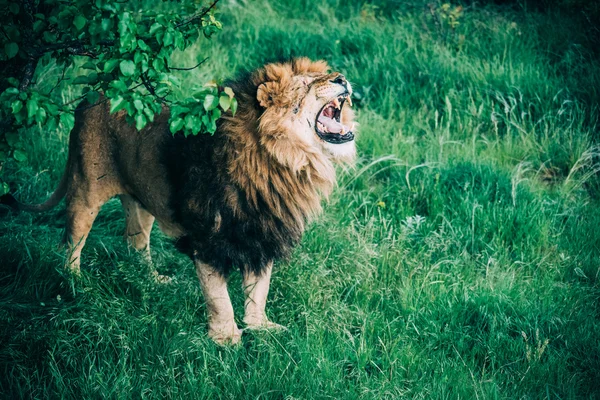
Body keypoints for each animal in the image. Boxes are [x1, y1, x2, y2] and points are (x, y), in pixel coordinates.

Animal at [3, 57, 356, 346]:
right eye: (308, 84)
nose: (342, 78)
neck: (284, 163)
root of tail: (93, 94)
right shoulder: (208, 237)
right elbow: (218, 297)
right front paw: (226, 340)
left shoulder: (262, 233)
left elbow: (259, 289)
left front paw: (260, 328)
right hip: (85, 189)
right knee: (71, 245)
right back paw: (77, 286)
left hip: (142, 198)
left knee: (135, 242)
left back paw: (151, 281)